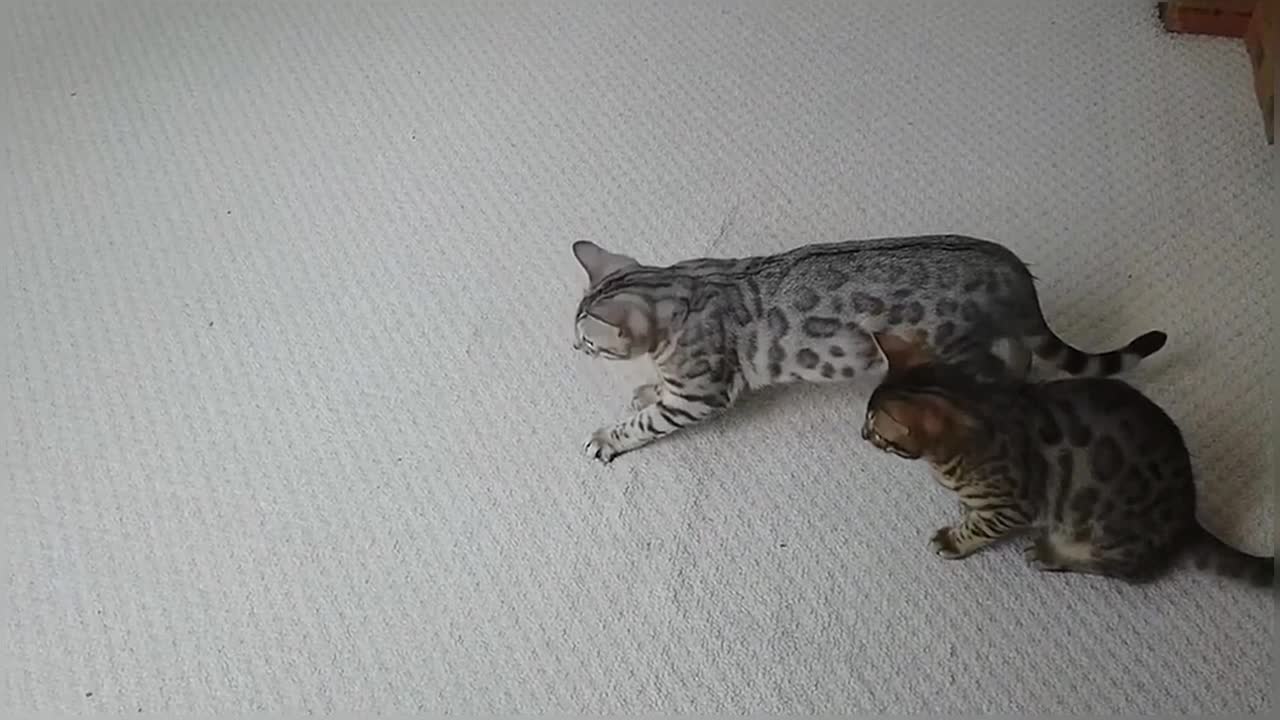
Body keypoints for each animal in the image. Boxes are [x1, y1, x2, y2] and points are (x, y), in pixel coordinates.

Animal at [570, 233, 1172, 461]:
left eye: (585, 342)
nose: (573, 350)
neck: (682, 286)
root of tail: (1012, 269)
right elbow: (656, 392)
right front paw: (646, 387)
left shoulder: (702, 395)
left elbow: (648, 421)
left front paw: (608, 437)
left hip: (959, 352)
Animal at [860, 330, 1269, 584]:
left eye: (876, 431)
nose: (862, 435)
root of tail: (1187, 518)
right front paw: (963, 509)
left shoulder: (1012, 506)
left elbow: (980, 528)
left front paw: (955, 540)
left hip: (1107, 533)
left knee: (1128, 570)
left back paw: (1052, 554)